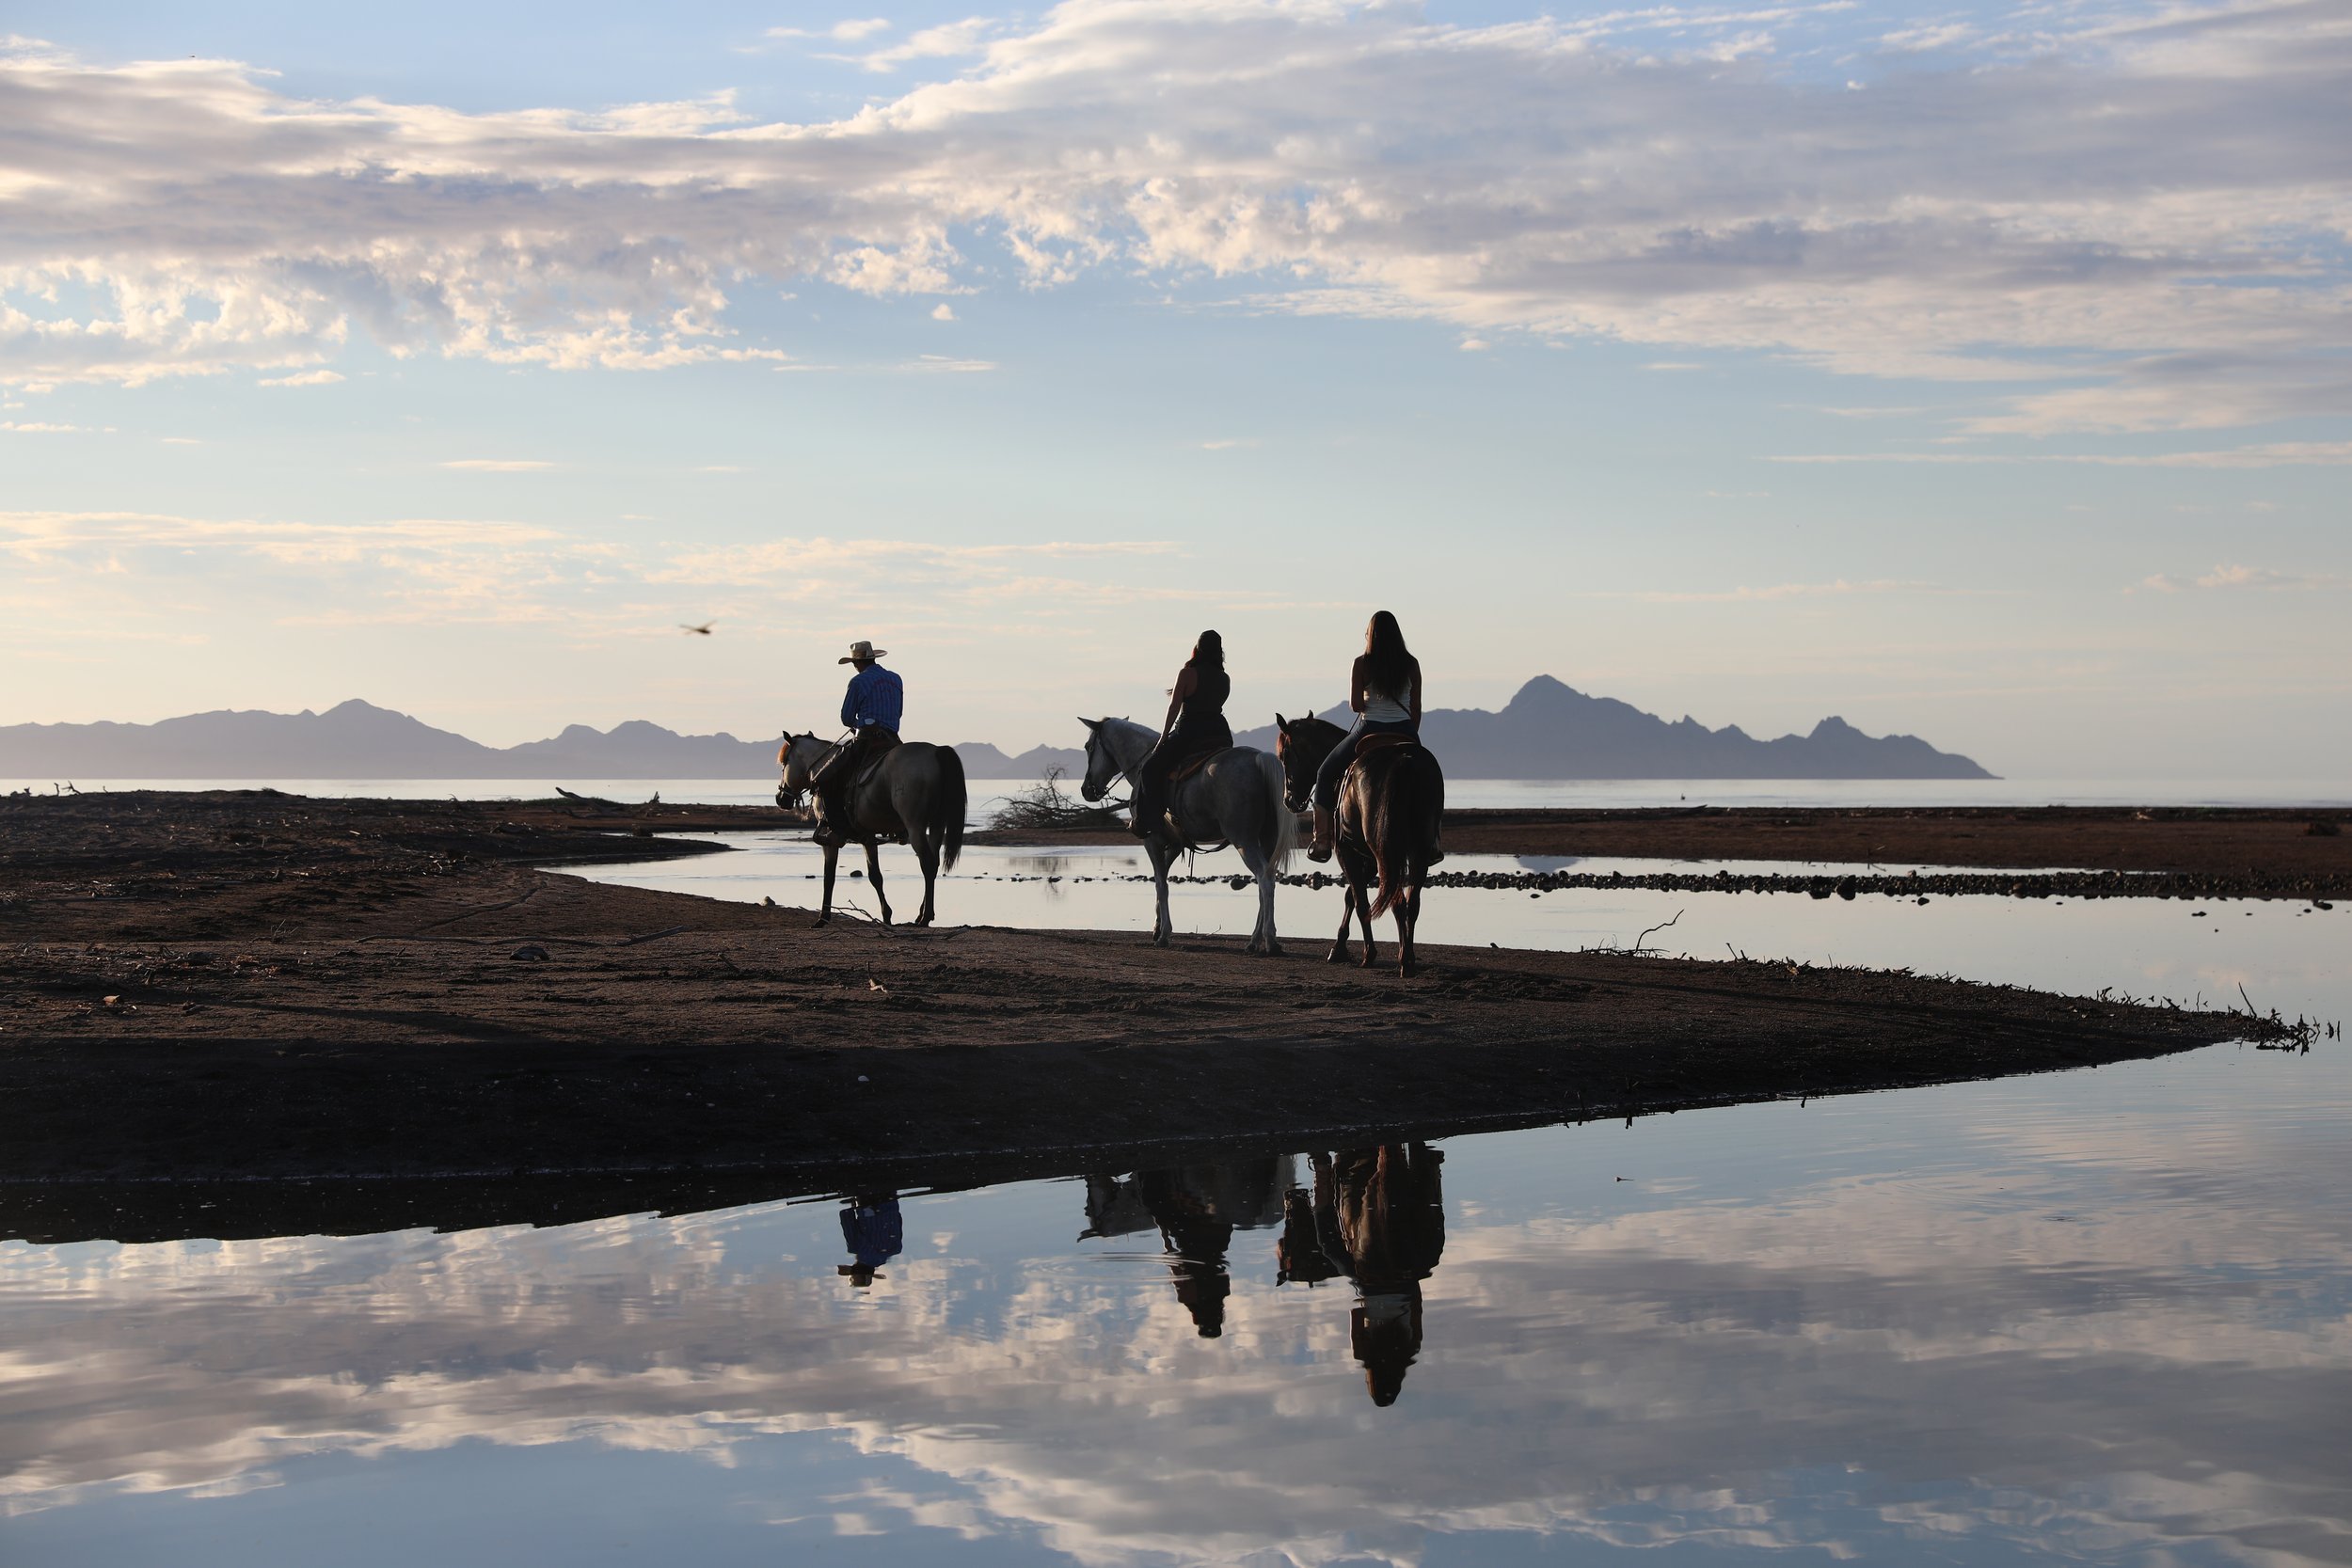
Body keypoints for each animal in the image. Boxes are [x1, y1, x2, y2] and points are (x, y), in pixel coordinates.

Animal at [776, 733, 966, 927]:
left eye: (784, 764)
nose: (780, 798)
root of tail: (936, 751)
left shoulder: (831, 839)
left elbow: (829, 878)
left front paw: (823, 918)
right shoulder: (867, 836)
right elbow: (875, 876)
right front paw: (887, 916)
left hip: (916, 827)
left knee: (927, 863)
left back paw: (925, 917)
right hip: (936, 825)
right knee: (934, 863)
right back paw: (922, 914)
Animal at [1076, 716, 1296, 955]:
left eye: (1088, 747)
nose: (1086, 789)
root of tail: (1258, 759)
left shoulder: (1151, 840)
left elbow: (1161, 885)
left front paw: (1164, 934)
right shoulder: (1174, 844)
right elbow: (1162, 879)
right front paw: (1157, 928)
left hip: (1243, 841)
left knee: (1264, 878)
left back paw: (1269, 940)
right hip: (1266, 840)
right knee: (1266, 880)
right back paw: (1254, 940)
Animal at [1273, 714, 1445, 977]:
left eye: (1284, 756)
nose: (1289, 800)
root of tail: (1403, 760)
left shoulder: (1347, 852)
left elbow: (1358, 898)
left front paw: (1356, 951)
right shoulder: (1368, 859)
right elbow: (1352, 896)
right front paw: (1342, 946)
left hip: (1386, 852)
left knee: (1397, 902)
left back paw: (1402, 960)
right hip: (1417, 850)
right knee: (1411, 903)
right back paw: (1408, 957)